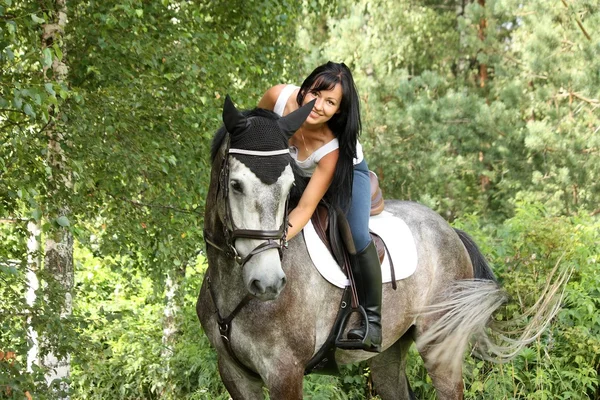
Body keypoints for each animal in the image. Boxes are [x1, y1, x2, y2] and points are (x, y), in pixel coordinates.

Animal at [198, 97, 564, 400]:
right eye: (236, 185)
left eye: (290, 189)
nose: (269, 283)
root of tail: (451, 232)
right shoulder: (234, 374)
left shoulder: (285, 372)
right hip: (389, 350)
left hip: (439, 348)